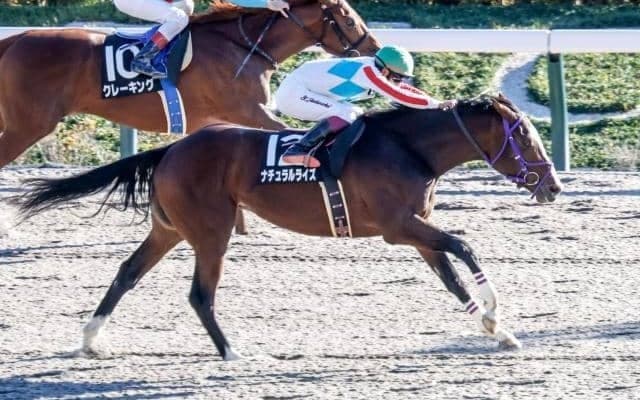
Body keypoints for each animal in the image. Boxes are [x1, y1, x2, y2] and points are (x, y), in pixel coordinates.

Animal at [13, 94, 563, 360]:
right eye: (524, 137)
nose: (553, 185)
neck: (409, 148)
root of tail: (171, 148)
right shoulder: (399, 226)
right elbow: (465, 249)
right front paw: (496, 313)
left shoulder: (417, 226)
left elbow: (451, 278)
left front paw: (498, 330)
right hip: (210, 232)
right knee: (200, 294)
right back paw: (231, 353)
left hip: (169, 229)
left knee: (127, 272)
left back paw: (91, 339)